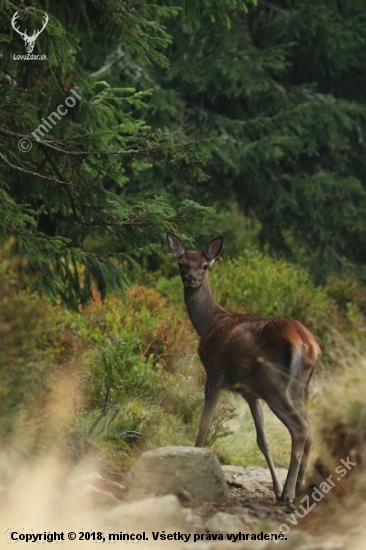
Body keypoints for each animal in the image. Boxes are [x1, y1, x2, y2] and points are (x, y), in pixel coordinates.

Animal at [167, 233, 320, 504]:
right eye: (181, 263)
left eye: (204, 266)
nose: (190, 279)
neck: (209, 322)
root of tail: (306, 343)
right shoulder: (249, 393)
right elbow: (263, 440)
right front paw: (275, 487)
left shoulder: (214, 372)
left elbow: (204, 422)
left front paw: (195, 458)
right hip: (302, 384)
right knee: (309, 429)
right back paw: (299, 489)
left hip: (273, 382)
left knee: (300, 427)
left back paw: (289, 494)